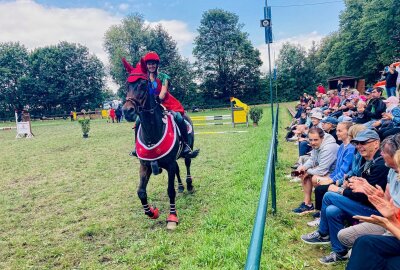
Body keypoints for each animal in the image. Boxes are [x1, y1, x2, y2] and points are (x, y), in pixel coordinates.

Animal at [120, 58, 198, 229]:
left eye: (143, 85)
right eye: (127, 85)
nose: (127, 111)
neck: (152, 135)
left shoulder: (169, 164)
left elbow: (170, 191)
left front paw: (172, 217)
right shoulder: (145, 165)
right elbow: (141, 191)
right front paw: (152, 212)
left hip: (187, 150)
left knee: (187, 163)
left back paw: (189, 185)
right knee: (178, 170)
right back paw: (181, 186)